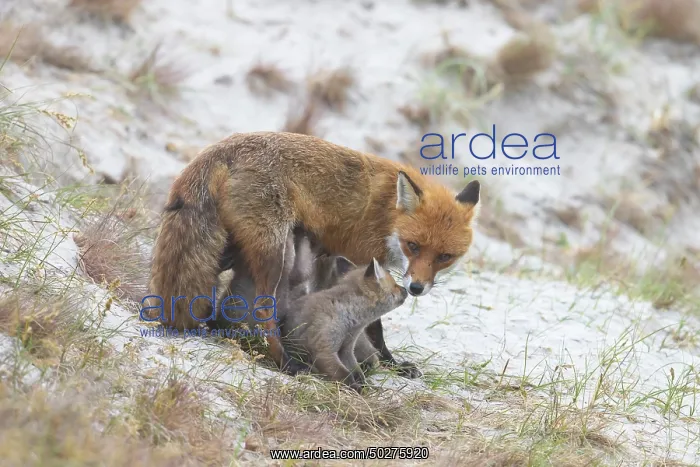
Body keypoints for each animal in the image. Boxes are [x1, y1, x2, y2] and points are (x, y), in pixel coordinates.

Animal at [145, 131, 480, 375]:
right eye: (414, 246)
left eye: (444, 256)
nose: (416, 288)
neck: (388, 216)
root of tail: (224, 146)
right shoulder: (363, 261)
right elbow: (373, 325)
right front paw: (389, 364)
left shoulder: (329, 258)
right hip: (273, 252)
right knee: (263, 309)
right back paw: (286, 363)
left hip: (230, 249)